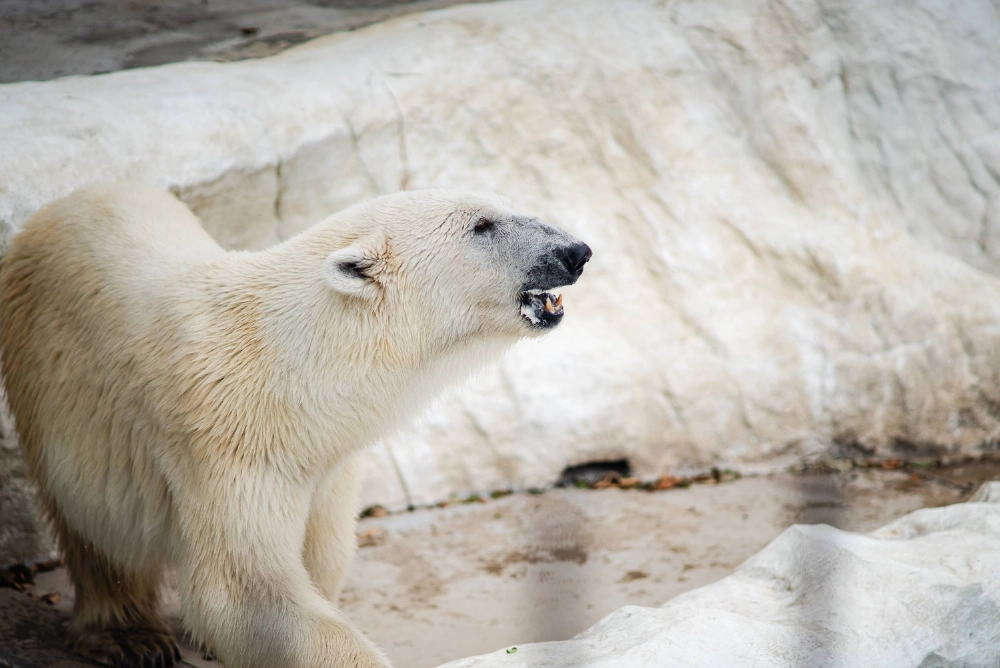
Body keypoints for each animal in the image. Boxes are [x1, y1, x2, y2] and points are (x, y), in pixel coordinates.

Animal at [0, 183, 591, 668]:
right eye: (482, 225)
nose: (576, 251)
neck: (287, 371)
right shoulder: (226, 444)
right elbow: (243, 589)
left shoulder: (328, 460)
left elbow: (320, 559)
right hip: (50, 379)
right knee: (94, 525)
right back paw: (130, 637)